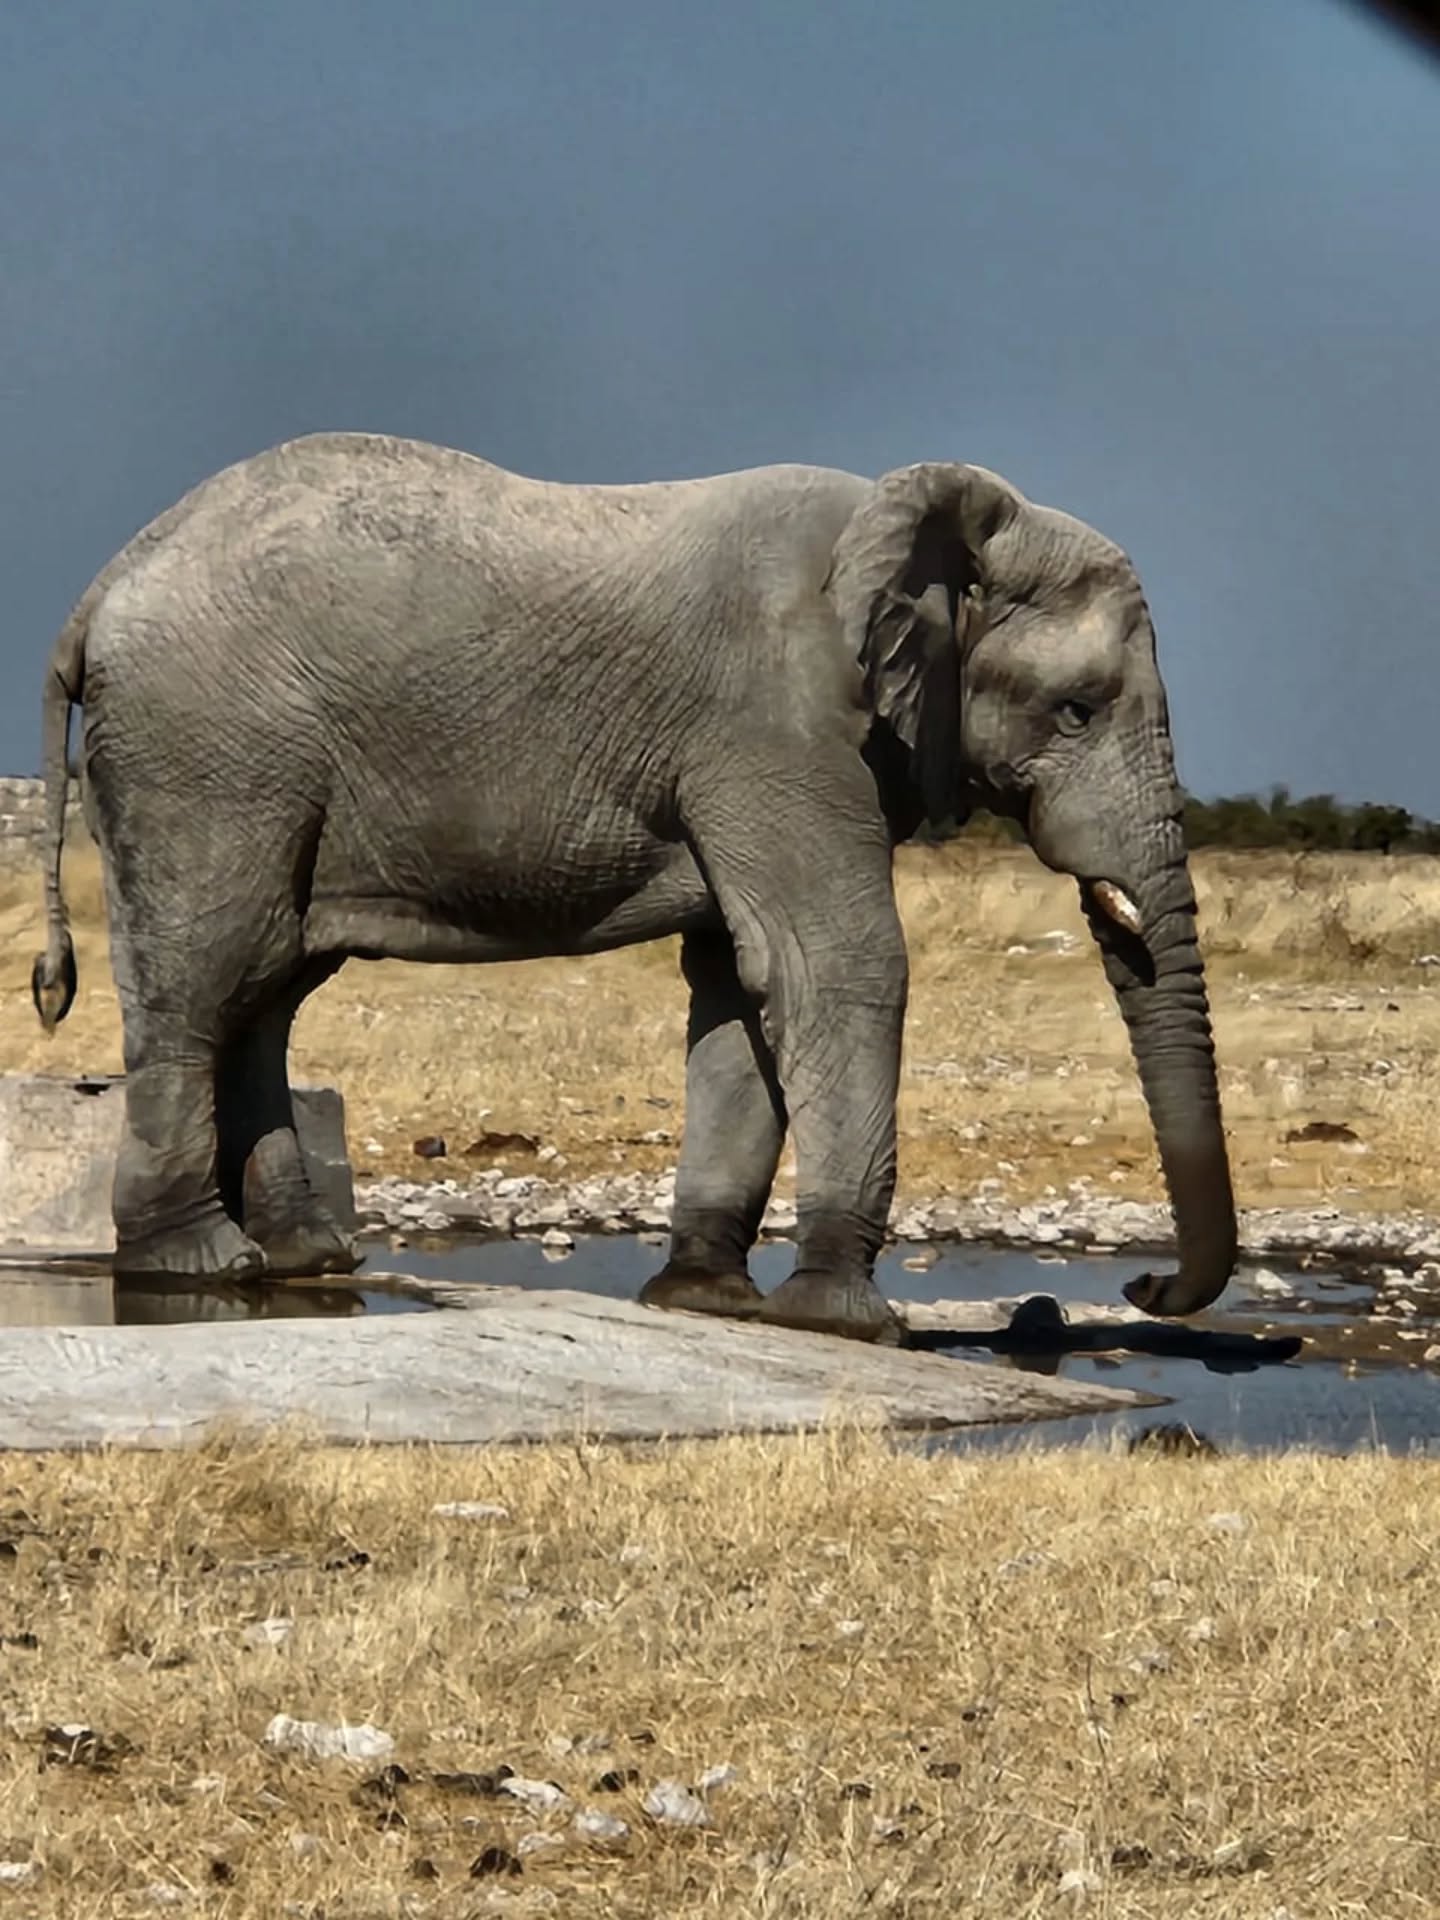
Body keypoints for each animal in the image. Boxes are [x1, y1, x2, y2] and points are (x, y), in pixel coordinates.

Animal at [31, 432, 1237, 1343]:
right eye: (1077, 710)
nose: (1143, 1288)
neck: (899, 528)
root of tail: (95, 593)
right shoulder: (781, 727)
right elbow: (837, 965)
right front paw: (842, 1323)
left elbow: (741, 987)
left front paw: (706, 1301)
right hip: (209, 757)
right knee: (207, 977)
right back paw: (201, 1268)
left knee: (269, 987)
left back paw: (305, 1264)